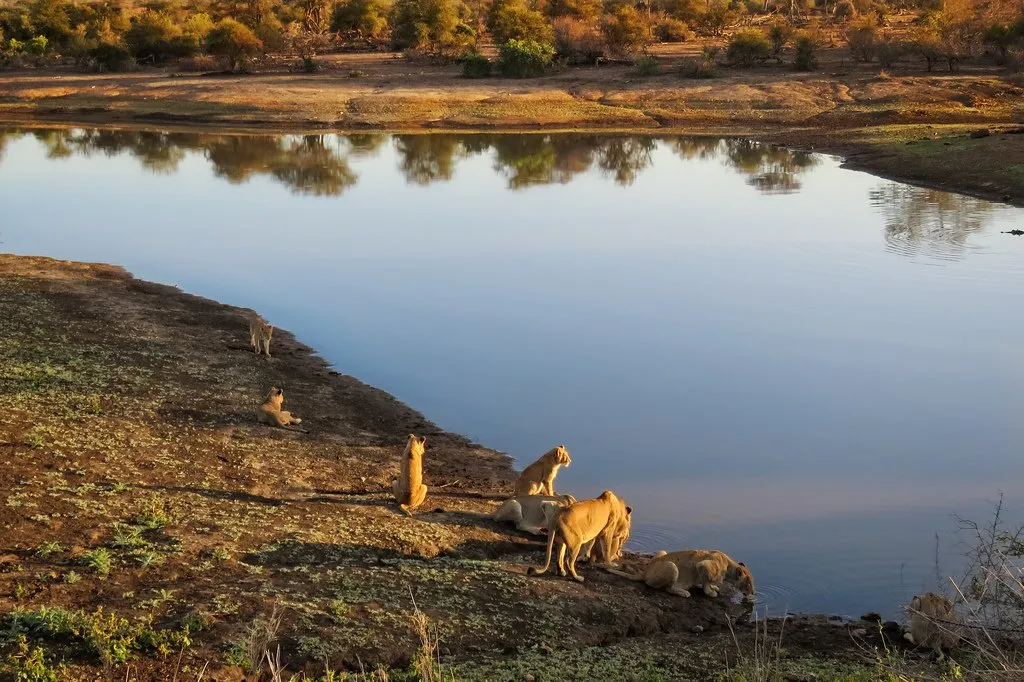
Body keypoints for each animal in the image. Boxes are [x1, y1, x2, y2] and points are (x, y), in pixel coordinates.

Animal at [602, 548, 757, 593]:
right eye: (748, 583)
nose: (753, 594)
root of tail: (645, 572)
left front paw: (714, 587)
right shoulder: (704, 565)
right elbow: (706, 582)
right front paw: (710, 591)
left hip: (662, 552)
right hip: (672, 567)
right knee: (666, 589)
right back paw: (683, 592)